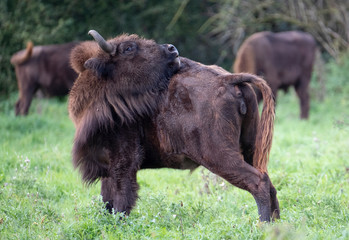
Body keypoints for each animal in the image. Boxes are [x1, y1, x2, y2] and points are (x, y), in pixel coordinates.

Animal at [68, 31, 280, 222]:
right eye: (128, 48)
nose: (172, 49)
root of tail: (227, 79)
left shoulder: (122, 163)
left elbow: (120, 198)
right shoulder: (109, 166)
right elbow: (108, 199)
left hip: (219, 156)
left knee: (258, 182)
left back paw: (263, 224)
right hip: (251, 148)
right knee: (268, 181)